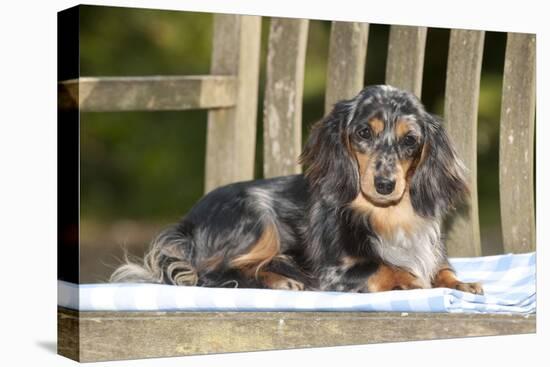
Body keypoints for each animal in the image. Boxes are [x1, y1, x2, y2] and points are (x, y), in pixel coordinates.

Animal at [111, 85, 484, 294]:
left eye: (410, 140)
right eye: (364, 132)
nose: (384, 184)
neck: (390, 217)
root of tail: (187, 223)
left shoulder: (431, 251)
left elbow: (442, 269)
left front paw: (461, 283)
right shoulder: (335, 271)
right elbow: (385, 266)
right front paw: (411, 279)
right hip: (257, 217)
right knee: (212, 273)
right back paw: (280, 281)